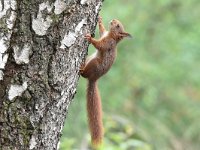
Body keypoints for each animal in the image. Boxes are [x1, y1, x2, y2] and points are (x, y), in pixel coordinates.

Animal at [79, 15, 131, 147]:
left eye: (118, 26)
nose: (113, 20)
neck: (111, 36)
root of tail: (94, 79)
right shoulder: (104, 34)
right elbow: (101, 30)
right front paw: (100, 20)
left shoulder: (108, 43)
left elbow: (100, 45)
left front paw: (90, 38)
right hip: (90, 58)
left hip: (94, 63)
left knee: (85, 75)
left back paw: (81, 70)